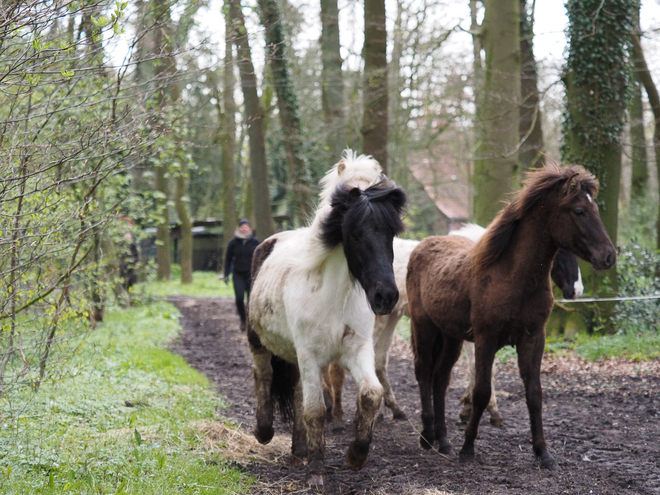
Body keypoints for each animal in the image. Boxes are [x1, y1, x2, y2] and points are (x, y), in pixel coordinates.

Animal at [246, 150, 404, 484]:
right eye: (355, 233)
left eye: (391, 233)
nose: (386, 296)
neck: (336, 298)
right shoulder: (310, 356)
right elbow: (316, 410)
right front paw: (317, 471)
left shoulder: (356, 351)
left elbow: (371, 394)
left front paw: (356, 455)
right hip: (260, 343)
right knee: (263, 375)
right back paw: (264, 432)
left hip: (293, 354)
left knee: (295, 393)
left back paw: (298, 453)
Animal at [404, 165, 616, 470]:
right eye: (579, 210)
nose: (608, 257)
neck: (512, 277)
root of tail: (421, 246)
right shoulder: (486, 339)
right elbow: (481, 391)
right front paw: (468, 447)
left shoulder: (533, 338)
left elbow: (535, 394)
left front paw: (543, 453)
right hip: (424, 327)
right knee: (423, 370)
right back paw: (427, 436)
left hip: (451, 336)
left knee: (440, 377)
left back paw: (444, 441)